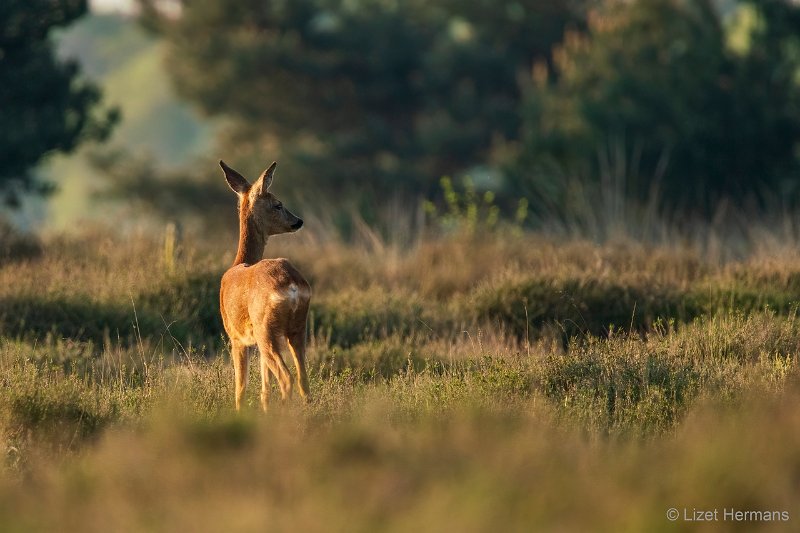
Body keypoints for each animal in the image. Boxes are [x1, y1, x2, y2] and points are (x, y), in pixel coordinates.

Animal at [219, 160, 312, 410]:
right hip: (297, 329)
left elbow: (240, 388)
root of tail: (291, 286)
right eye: (278, 204)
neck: (240, 262)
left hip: (265, 330)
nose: (298, 221)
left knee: (287, 379)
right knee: (303, 381)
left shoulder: (236, 338)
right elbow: (264, 388)